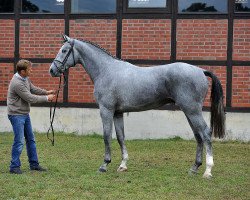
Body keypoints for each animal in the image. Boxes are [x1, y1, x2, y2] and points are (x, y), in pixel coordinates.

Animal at [48, 34, 225, 178]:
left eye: (64, 50)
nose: (52, 70)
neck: (106, 70)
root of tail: (200, 70)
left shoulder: (106, 110)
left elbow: (106, 136)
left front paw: (104, 164)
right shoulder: (118, 113)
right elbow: (120, 137)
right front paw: (122, 165)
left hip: (192, 110)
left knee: (205, 133)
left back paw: (208, 171)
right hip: (189, 111)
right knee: (198, 135)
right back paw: (194, 168)